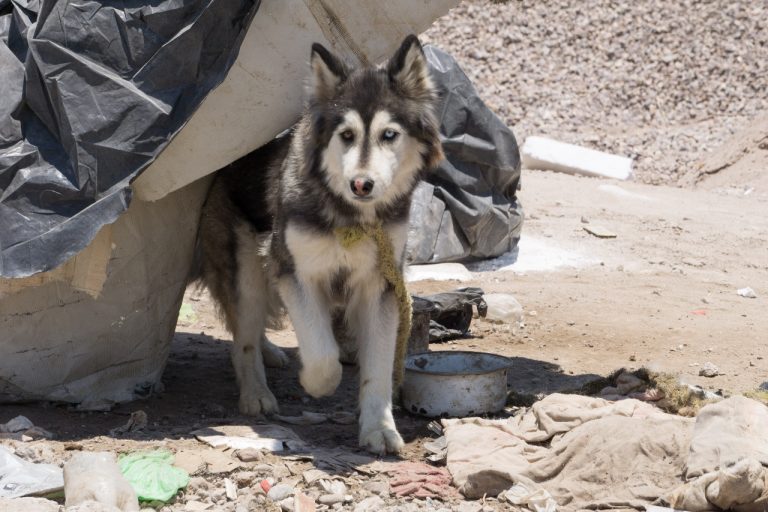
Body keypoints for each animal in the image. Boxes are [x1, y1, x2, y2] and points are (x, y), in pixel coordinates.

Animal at [195, 35, 440, 452]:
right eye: (347, 136)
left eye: (389, 135)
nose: (362, 184)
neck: (351, 218)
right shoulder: (293, 271)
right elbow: (323, 353)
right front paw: (316, 382)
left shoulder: (381, 285)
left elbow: (377, 366)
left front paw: (379, 428)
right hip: (247, 271)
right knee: (242, 339)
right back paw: (256, 392)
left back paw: (269, 351)